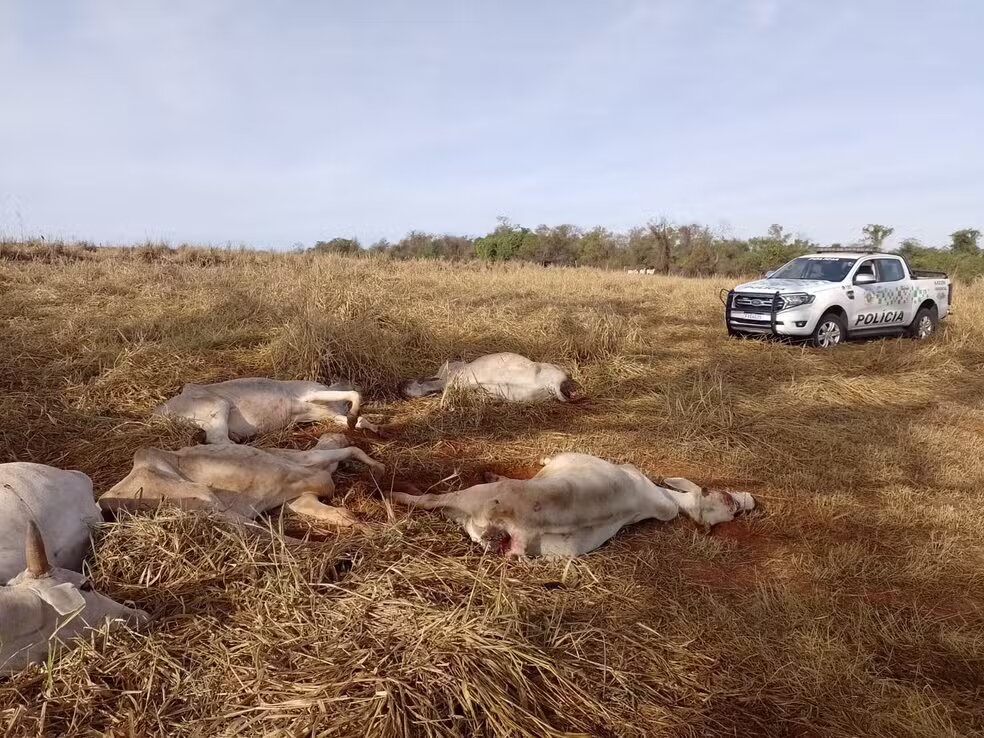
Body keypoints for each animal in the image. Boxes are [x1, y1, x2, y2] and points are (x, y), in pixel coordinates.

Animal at [157, 376, 380, 440]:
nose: (364, 385)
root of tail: (160, 408)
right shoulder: (311, 394)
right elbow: (354, 396)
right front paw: (354, 416)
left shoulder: (330, 415)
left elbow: (356, 419)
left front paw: (372, 427)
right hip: (217, 404)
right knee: (217, 440)